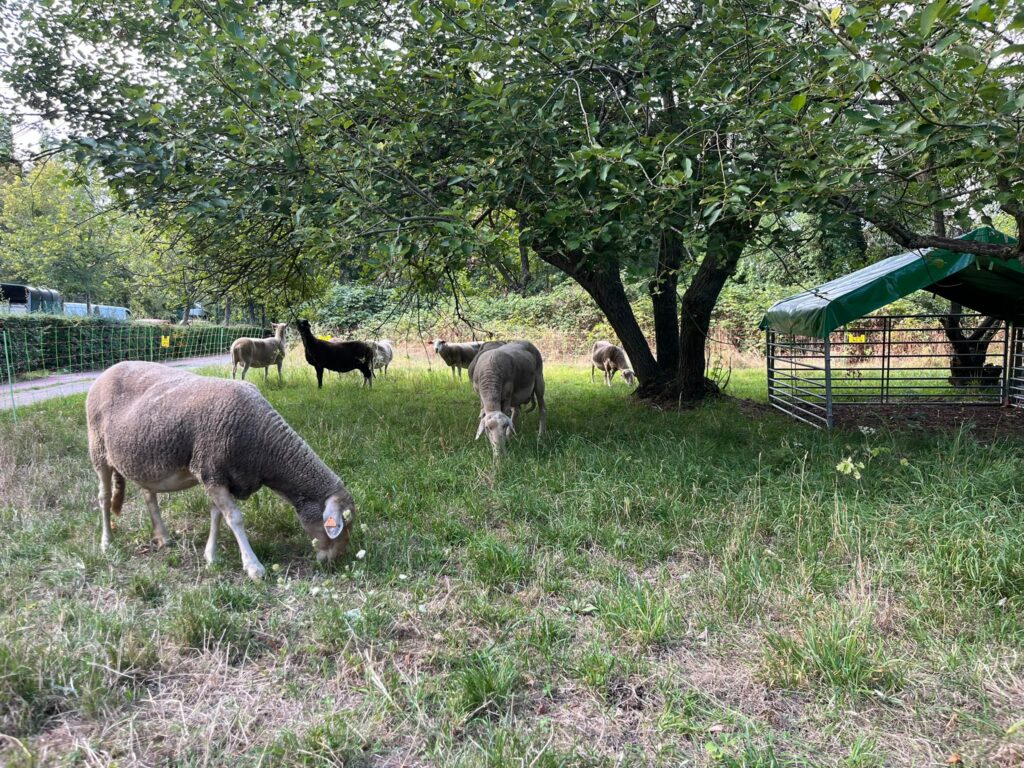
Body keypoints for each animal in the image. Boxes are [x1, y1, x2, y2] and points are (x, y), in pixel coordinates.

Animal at [86, 361, 355, 580]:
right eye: (341, 524)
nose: (333, 562)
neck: (266, 445)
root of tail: (107, 372)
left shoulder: (220, 477)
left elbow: (216, 515)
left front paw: (211, 557)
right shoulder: (211, 471)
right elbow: (234, 518)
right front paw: (254, 568)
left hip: (143, 459)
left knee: (148, 495)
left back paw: (163, 537)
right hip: (98, 450)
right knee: (104, 497)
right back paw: (107, 542)